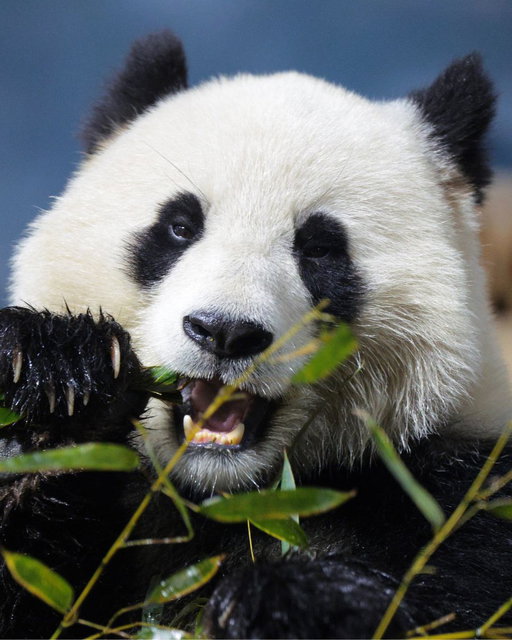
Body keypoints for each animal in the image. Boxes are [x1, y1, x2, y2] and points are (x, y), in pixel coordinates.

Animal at [1, 29, 512, 639]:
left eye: (319, 248)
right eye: (179, 226)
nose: (225, 332)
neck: (226, 495)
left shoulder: (466, 484)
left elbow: (452, 599)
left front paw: (287, 602)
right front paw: (60, 379)